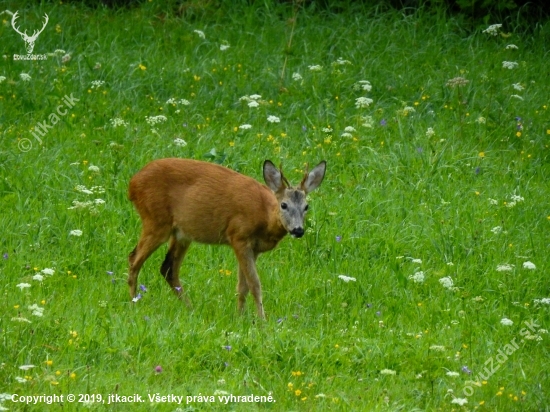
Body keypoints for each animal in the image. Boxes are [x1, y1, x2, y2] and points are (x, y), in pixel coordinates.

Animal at [128, 159, 328, 318]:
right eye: (284, 205)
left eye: (306, 206)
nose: (298, 230)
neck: (265, 217)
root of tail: (132, 184)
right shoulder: (238, 236)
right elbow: (254, 284)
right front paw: (262, 322)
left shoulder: (253, 248)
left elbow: (243, 286)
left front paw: (240, 317)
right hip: (156, 221)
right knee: (134, 259)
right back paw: (134, 304)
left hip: (181, 233)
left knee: (168, 268)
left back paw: (191, 309)